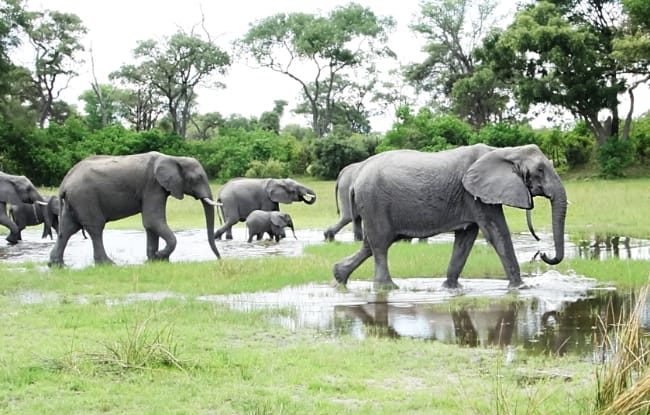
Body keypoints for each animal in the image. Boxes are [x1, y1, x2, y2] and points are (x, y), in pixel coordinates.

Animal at [47, 152, 220, 266]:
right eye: (197, 179)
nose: (219, 259)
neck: (173, 158)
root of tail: (65, 182)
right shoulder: (153, 186)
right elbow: (153, 220)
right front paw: (160, 256)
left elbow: (150, 224)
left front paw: (155, 260)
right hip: (85, 197)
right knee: (95, 228)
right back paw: (108, 264)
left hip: (73, 201)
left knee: (67, 228)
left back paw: (56, 265)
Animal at [332, 145, 564, 290]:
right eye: (540, 170)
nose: (543, 253)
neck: (505, 151)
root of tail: (356, 178)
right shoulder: (474, 195)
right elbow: (497, 233)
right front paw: (521, 287)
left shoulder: (472, 197)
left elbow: (466, 239)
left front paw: (451, 288)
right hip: (374, 202)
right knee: (380, 244)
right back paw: (387, 287)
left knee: (371, 244)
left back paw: (339, 276)